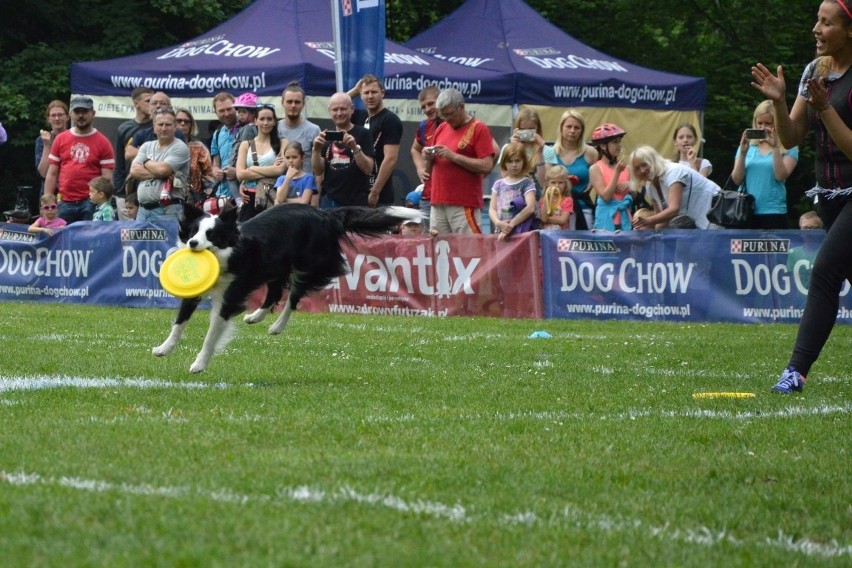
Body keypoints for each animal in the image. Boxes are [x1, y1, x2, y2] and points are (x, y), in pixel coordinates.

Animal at [155, 203, 422, 372]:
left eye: (211, 234)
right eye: (193, 231)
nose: (192, 243)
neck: (226, 255)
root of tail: (327, 213)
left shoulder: (230, 297)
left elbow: (212, 334)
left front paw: (199, 365)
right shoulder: (195, 294)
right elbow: (179, 323)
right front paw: (163, 348)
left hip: (308, 265)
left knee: (294, 296)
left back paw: (277, 326)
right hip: (277, 265)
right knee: (275, 291)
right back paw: (255, 316)